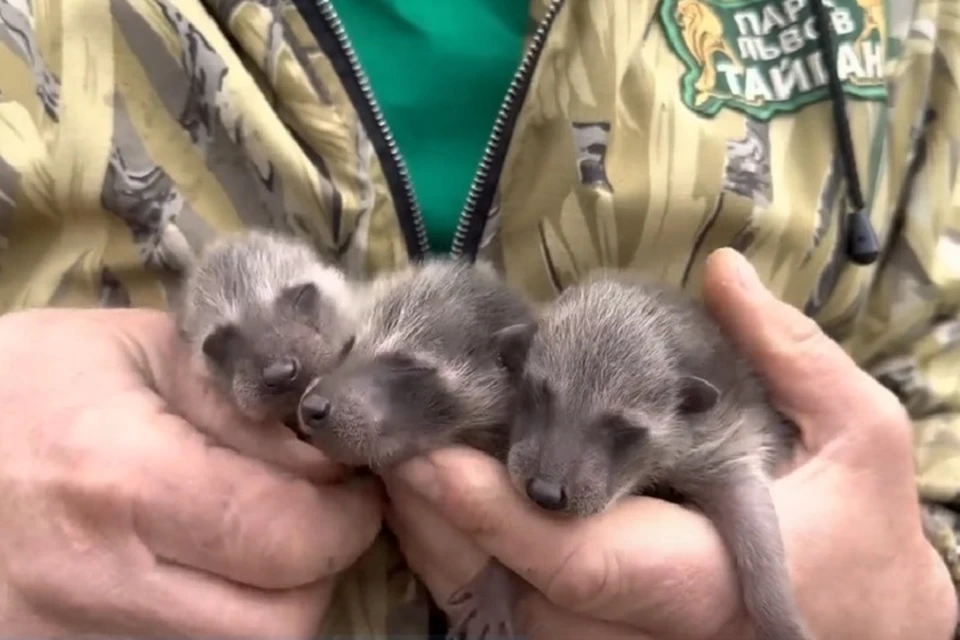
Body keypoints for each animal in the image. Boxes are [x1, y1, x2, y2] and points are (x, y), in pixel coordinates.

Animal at [498, 272, 812, 640]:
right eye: (536, 393)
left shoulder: (728, 432)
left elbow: (751, 510)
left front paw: (778, 613)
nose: (544, 493)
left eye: (623, 429)